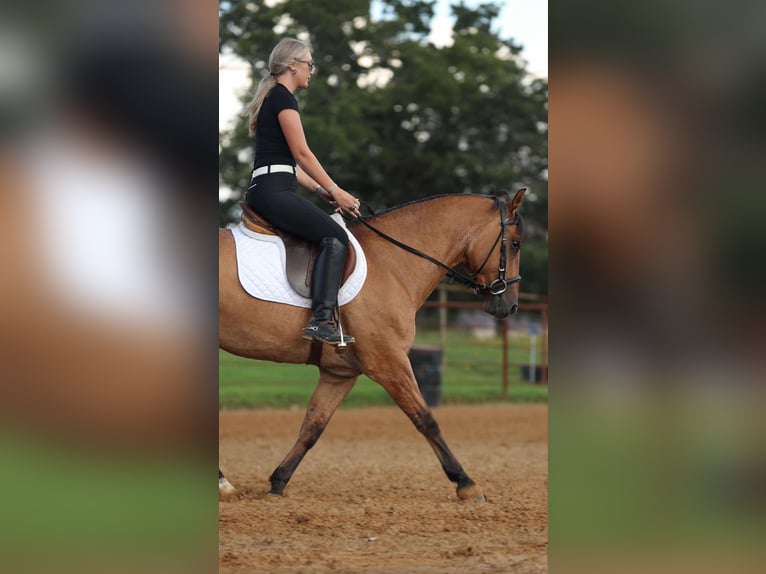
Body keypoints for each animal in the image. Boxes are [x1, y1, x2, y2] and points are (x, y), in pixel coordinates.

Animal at [219, 188, 526, 501]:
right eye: (515, 244)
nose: (510, 306)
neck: (392, 263)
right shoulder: (388, 361)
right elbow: (425, 418)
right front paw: (466, 483)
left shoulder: (339, 374)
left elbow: (313, 426)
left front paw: (278, 481)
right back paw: (222, 483)